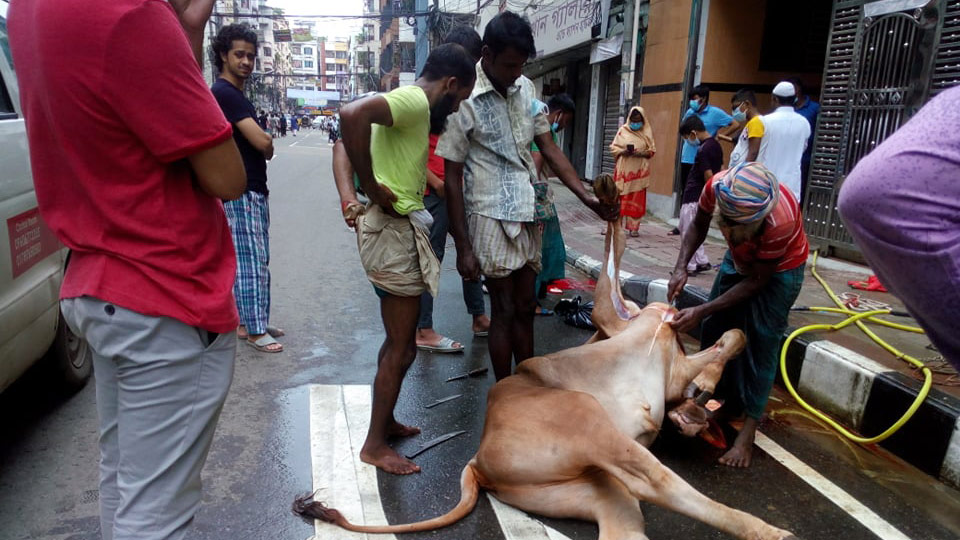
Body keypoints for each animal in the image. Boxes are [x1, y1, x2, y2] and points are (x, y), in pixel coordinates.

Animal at [296, 177, 800, 540]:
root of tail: (477, 460)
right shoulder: (619, 319)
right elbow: (620, 256)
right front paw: (608, 194)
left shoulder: (647, 342)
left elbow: (730, 334)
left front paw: (699, 402)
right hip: (589, 424)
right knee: (654, 481)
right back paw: (770, 531)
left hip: (595, 491)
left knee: (627, 517)